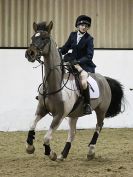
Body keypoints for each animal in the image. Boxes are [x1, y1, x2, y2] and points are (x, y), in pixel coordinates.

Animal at [25, 21, 124, 161]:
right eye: (32, 37)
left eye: (45, 38)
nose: (30, 53)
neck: (55, 85)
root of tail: (103, 78)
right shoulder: (41, 110)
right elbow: (31, 125)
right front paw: (30, 147)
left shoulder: (59, 115)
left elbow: (47, 137)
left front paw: (51, 154)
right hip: (74, 114)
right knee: (73, 133)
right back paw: (63, 154)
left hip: (101, 110)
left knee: (99, 126)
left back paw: (90, 151)